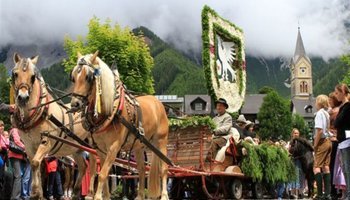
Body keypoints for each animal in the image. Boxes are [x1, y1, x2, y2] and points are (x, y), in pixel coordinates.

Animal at [10, 53, 95, 200]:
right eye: (15, 74)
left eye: (33, 76)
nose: (23, 97)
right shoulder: (29, 145)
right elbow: (35, 165)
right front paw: (37, 193)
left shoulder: (46, 142)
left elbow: (35, 163)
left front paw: (35, 193)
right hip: (76, 147)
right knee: (83, 166)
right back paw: (76, 192)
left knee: (96, 165)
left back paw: (91, 193)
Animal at [68, 52, 170, 200]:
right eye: (74, 77)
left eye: (88, 77)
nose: (75, 104)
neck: (111, 110)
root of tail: (158, 102)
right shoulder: (100, 148)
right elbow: (103, 173)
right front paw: (104, 196)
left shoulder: (114, 147)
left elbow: (103, 173)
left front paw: (97, 197)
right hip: (139, 146)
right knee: (141, 169)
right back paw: (140, 196)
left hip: (161, 141)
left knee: (164, 168)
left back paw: (164, 195)